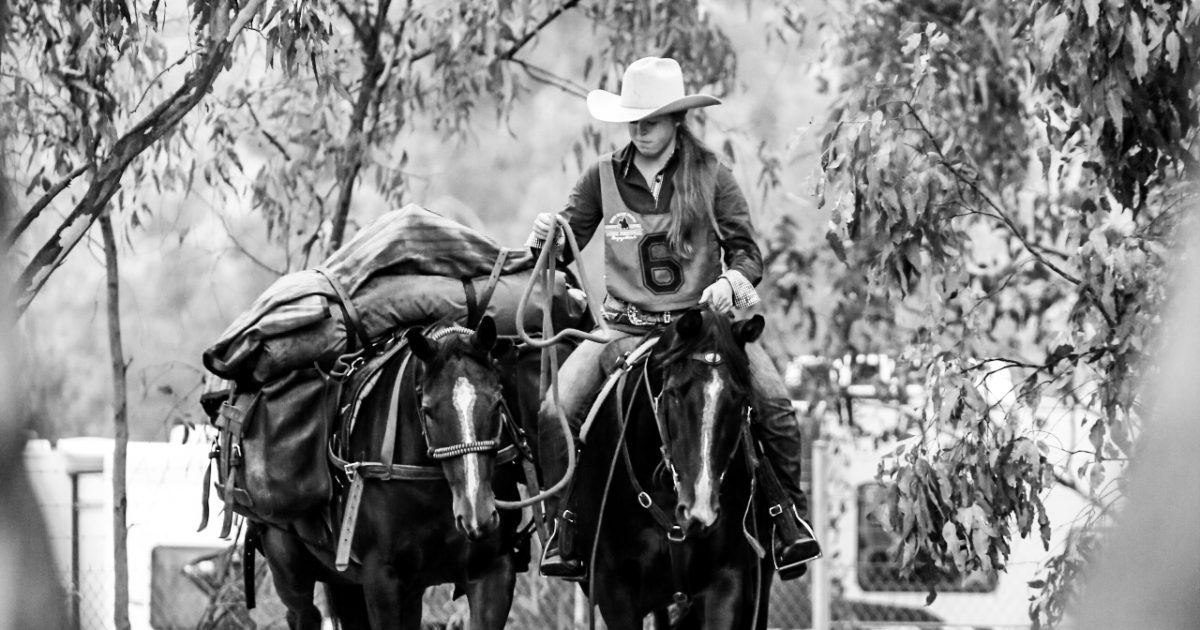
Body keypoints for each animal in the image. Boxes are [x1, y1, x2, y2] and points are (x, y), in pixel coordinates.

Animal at [255, 316, 532, 624]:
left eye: (497, 402)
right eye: (428, 410)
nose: (476, 515)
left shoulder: (493, 571)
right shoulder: (382, 581)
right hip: (289, 569)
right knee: (302, 613)